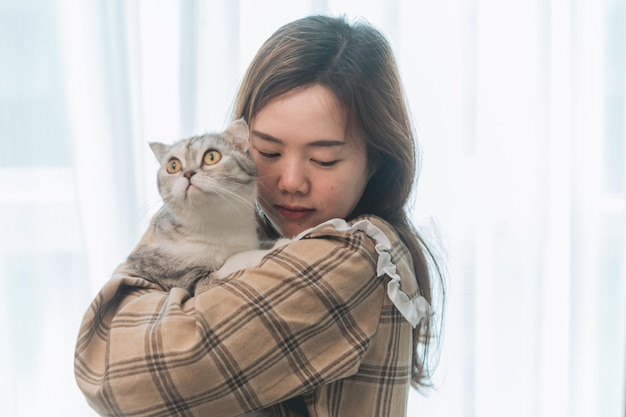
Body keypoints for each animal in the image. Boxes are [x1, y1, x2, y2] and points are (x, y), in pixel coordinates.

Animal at [119, 118, 258, 290]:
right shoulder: (177, 277)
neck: (214, 225)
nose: (188, 173)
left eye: (212, 157)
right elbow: (233, 262)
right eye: (173, 165)